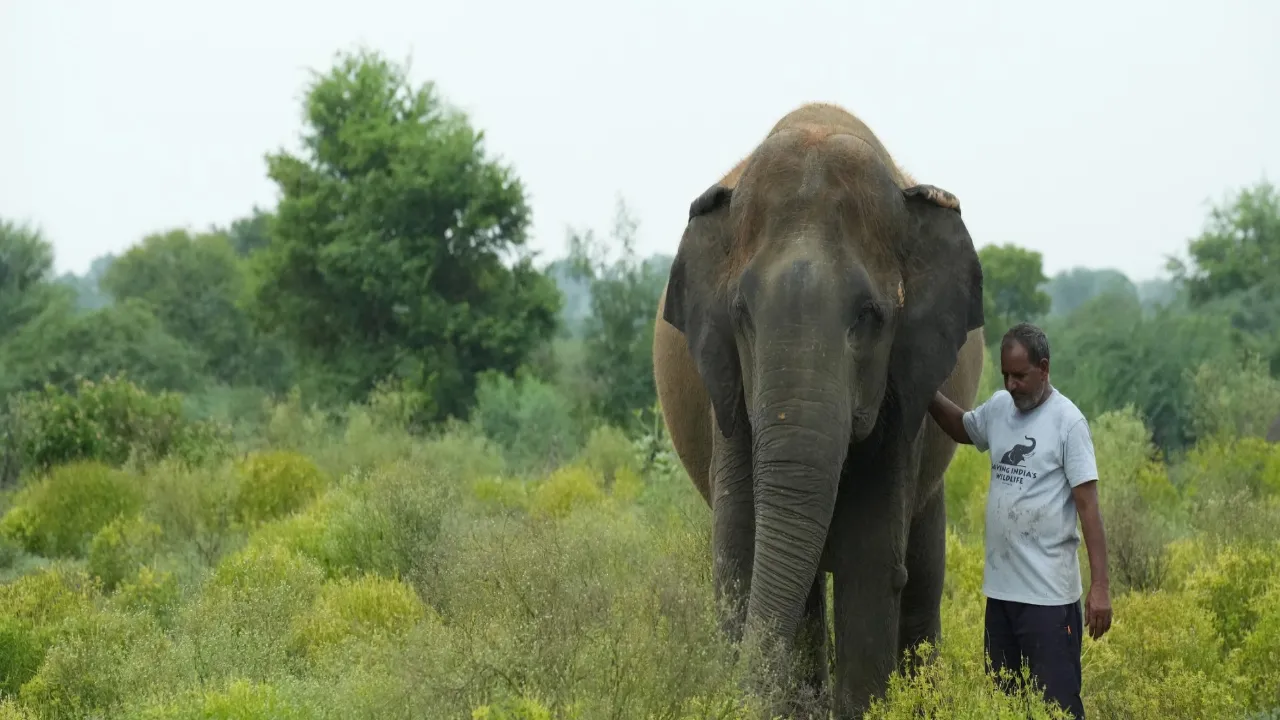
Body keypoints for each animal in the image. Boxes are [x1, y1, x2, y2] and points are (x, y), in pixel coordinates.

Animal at [652, 102, 986, 718]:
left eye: (870, 317)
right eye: (741, 314)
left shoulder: (902, 392)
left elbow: (870, 559)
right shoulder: (726, 390)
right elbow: (740, 550)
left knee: (921, 575)